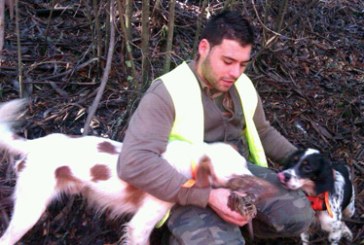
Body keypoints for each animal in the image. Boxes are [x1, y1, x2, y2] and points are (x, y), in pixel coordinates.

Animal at [0, 98, 274, 244]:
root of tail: (36, 143)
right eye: (235, 175)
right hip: (28, 211)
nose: (265, 192)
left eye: (245, 164)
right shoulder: (140, 225)